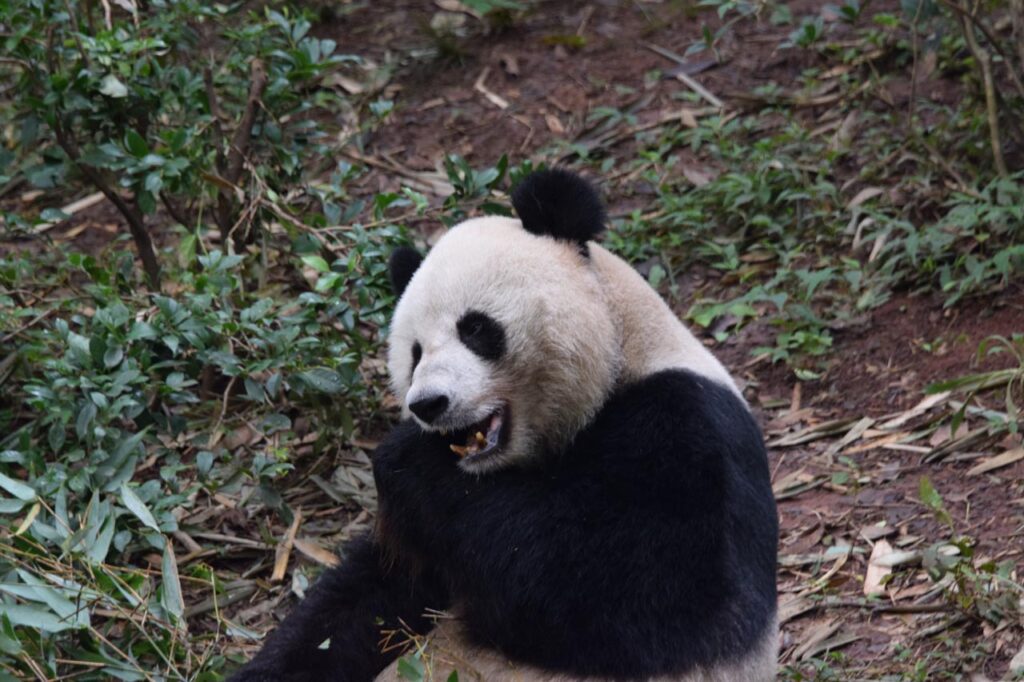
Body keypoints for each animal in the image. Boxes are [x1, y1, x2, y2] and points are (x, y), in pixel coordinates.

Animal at [232, 169, 779, 682]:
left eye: (475, 328)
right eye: (414, 353)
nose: (428, 404)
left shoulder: (687, 427)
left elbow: (641, 590)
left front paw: (405, 458)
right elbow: (366, 601)